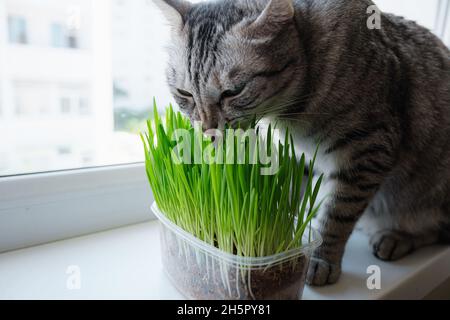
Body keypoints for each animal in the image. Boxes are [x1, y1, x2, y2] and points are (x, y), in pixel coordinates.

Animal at [153, 0, 448, 286]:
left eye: (232, 92)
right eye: (184, 93)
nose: (207, 131)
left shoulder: (369, 147)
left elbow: (338, 212)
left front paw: (321, 259)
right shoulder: (302, 156)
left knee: (435, 231)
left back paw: (396, 238)